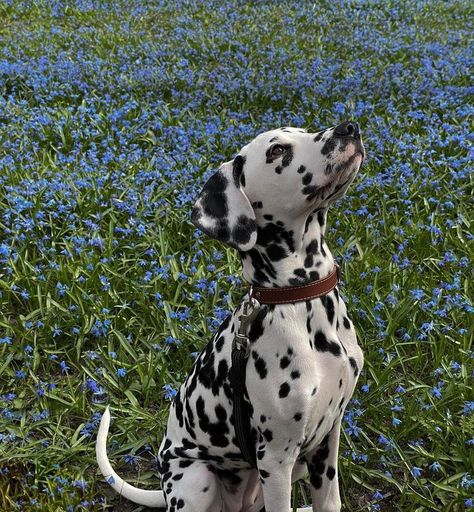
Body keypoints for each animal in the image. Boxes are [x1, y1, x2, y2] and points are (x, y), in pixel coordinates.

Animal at [97, 120, 366, 512]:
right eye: (277, 151)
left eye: (302, 130)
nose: (349, 128)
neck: (299, 300)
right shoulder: (276, 458)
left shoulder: (327, 440)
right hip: (197, 479)